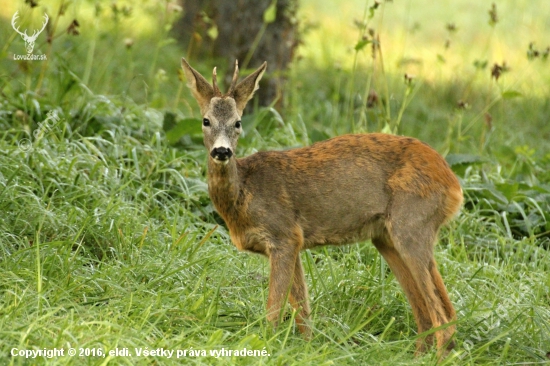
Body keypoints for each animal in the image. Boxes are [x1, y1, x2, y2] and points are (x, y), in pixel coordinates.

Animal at [182, 58, 466, 356]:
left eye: (238, 122)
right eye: (206, 121)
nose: (222, 151)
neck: (243, 194)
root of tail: (453, 183)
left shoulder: (284, 235)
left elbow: (274, 309)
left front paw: (269, 345)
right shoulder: (294, 243)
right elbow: (302, 310)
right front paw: (306, 350)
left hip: (412, 223)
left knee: (443, 314)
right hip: (386, 237)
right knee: (425, 312)